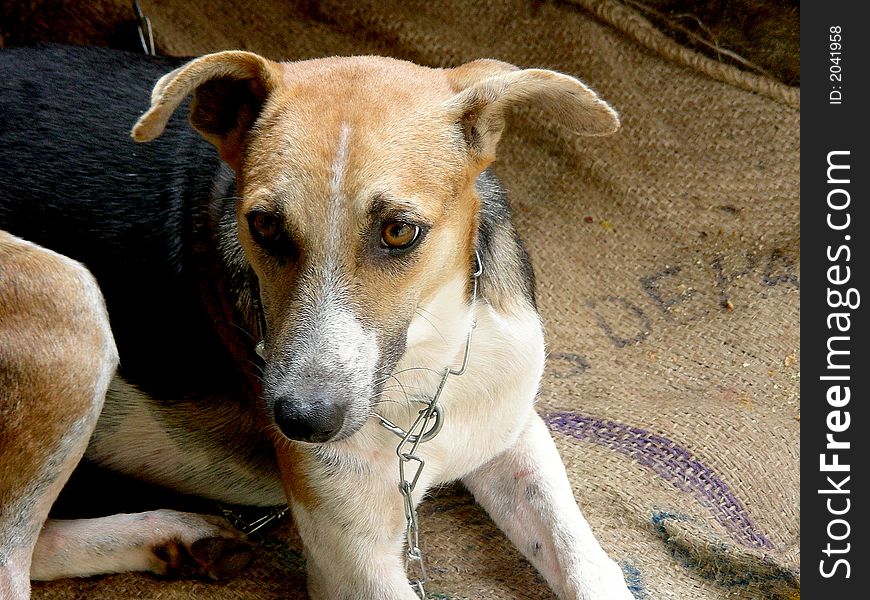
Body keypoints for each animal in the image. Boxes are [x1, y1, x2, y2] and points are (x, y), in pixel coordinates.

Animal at [0, 47, 632, 600]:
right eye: (263, 225)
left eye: (399, 231)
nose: (302, 421)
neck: (423, 368)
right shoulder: (353, 564)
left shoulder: (511, 429)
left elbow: (585, 561)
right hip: (69, 298)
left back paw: (179, 540)